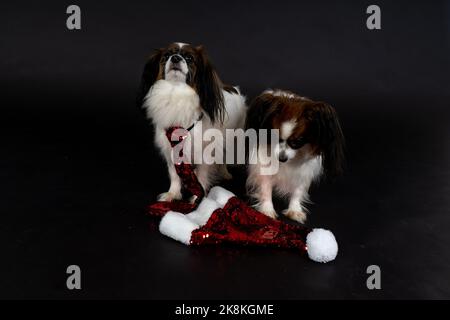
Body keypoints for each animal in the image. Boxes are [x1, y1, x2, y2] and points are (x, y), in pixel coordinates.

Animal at [138, 42, 246, 201]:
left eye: (189, 58)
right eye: (167, 55)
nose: (175, 58)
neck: (176, 91)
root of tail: (233, 88)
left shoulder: (205, 152)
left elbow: (201, 177)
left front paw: (196, 199)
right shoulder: (171, 149)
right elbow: (174, 174)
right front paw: (173, 194)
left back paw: (224, 173)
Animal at [244, 89, 342, 224]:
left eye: (297, 142)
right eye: (274, 136)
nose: (282, 158)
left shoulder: (304, 171)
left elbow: (298, 191)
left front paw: (294, 210)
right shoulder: (264, 166)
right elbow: (266, 189)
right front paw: (267, 210)